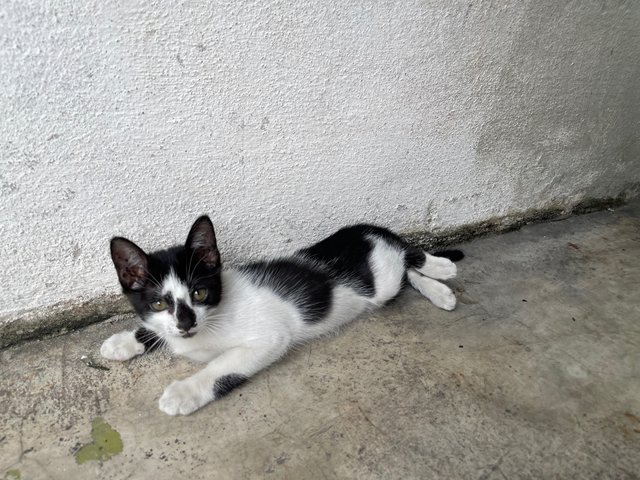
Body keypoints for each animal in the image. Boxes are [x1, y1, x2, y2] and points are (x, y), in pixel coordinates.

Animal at [100, 218, 462, 416]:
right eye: (159, 303)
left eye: (200, 293)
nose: (187, 324)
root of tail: (369, 229)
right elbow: (155, 331)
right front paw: (121, 343)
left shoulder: (271, 338)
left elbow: (222, 367)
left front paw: (184, 392)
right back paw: (440, 289)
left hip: (383, 275)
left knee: (409, 255)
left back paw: (441, 270)